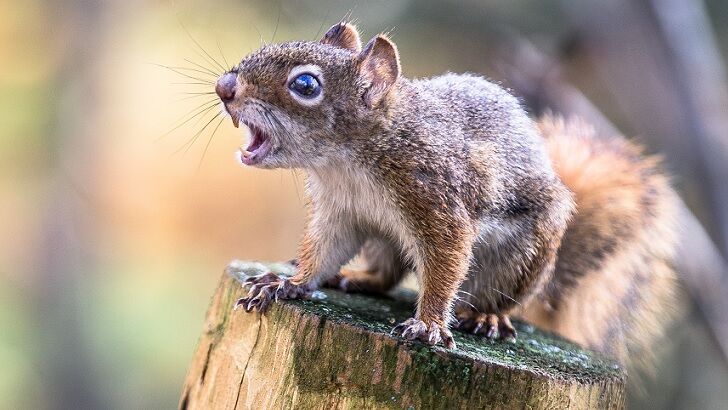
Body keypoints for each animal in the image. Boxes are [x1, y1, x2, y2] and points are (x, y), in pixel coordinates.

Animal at [218, 22, 678, 365]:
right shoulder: (339, 212)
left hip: (519, 260)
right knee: (386, 275)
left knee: (498, 296)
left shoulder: (438, 199)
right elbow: (323, 250)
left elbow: (444, 264)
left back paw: (488, 317)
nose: (224, 86)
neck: (347, 162)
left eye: (306, 85)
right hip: (384, 240)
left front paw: (429, 324)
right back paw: (355, 277)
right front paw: (288, 284)